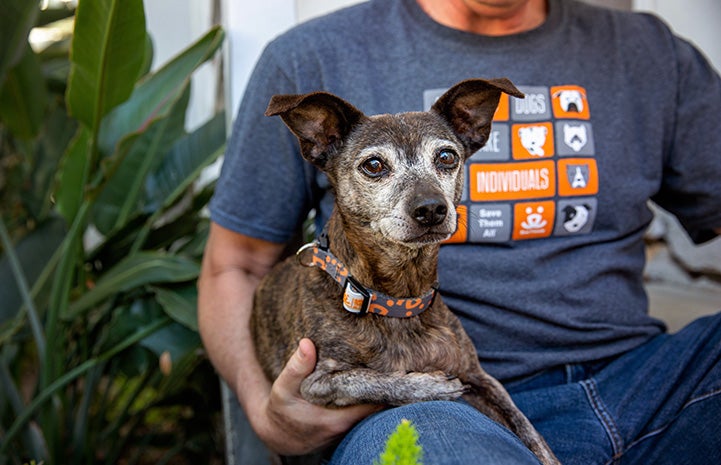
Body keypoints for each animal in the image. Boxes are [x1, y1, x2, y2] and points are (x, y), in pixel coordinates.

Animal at [250, 78, 560, 462]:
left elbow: (531, 434)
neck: (396, 299)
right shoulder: (315, 383)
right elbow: (372, 379)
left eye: (446, 157)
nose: (431, 209)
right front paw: (426, 384)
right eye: (373, 165)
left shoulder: (482, 378)